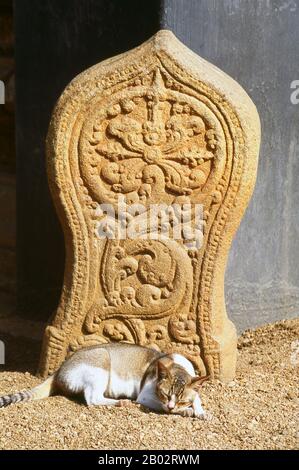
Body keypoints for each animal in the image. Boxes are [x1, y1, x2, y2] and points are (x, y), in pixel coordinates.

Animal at [0, 342, 210, 418]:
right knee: (92, 398)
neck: (177, 365)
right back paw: (120, 402)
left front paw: (199, 411)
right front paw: (188, 412)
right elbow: (163, 407)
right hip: (102, 359)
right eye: (165, 395)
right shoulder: (145, 397)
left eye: (181, 399)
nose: (172, 407)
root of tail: (60, 368)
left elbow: (197, 397)